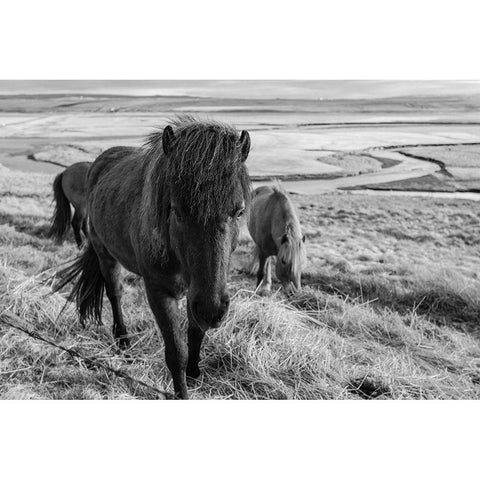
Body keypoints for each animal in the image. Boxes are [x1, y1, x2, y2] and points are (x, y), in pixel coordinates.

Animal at [54, 118, 251, 400]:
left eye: (239, 211)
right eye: (176, 211)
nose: (212, 311)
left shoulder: (198, 292)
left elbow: (195, 332)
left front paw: (194, 372)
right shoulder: (160, 292)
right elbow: (176, 352)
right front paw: (182, 393)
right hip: (105, 254)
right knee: (115, 294)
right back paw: (123, 340)